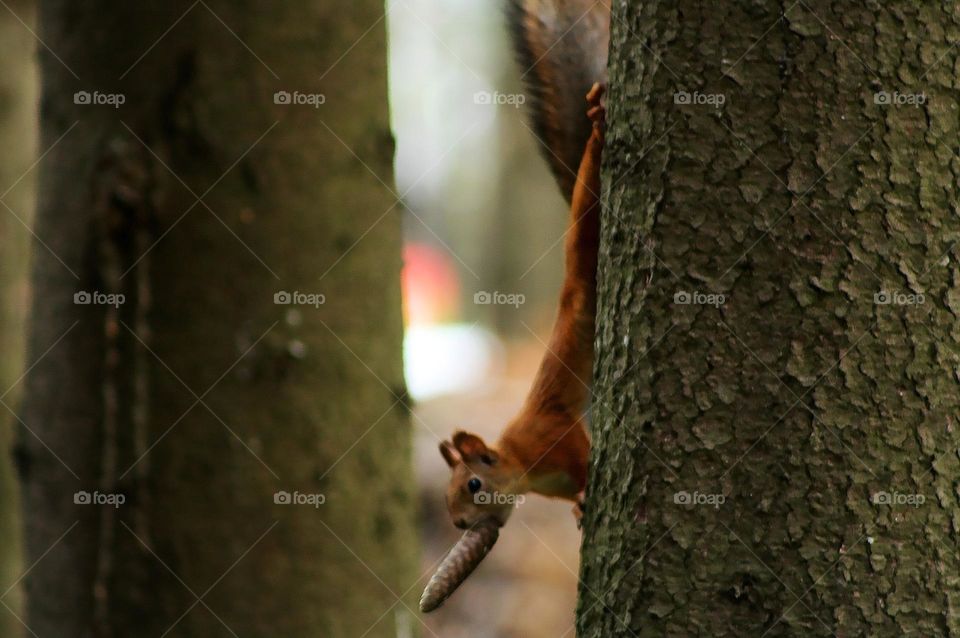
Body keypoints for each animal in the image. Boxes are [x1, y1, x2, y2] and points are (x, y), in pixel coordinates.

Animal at [439, 0, 610, 531]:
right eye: (447, 497)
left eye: (474, 484)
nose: (460, 525)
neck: (523, 468)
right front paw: (578, 506)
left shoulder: (555, 437)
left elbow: (580, 453)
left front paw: (585, 496)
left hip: (584, 232)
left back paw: (598, 122)